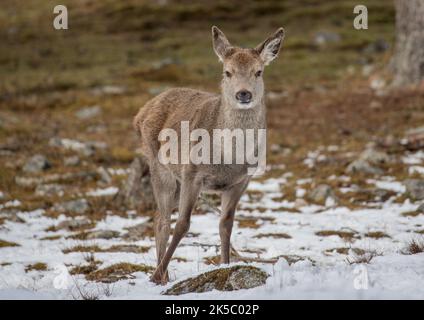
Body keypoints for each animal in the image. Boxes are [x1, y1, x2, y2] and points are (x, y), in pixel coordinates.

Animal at [133, 26, 284, 284]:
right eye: (227, 72)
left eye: (259, 72)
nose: (243, 94)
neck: (228, 158)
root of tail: (140, 113)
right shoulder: (192, 173)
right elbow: (183, 224)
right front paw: (155, 276)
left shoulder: (241, 181)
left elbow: (226, 224)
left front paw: (225, 266)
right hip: (160, 167)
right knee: (163, 220)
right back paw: (161, 275)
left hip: (176, 180)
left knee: (156, 215)